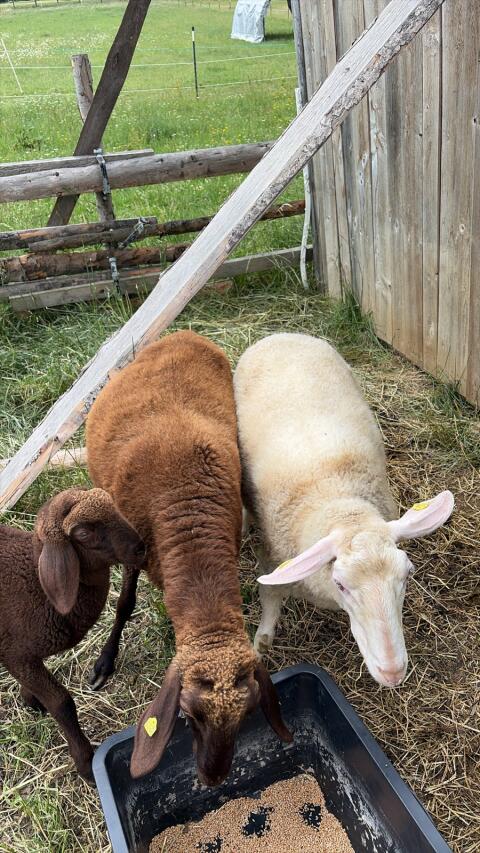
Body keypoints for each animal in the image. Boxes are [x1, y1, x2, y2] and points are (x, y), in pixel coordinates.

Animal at [0, 487, 145, 780]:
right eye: (83, 533)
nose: (142, 547)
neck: (36, 584)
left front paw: (30, 698)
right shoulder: (16, 654)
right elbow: (62, 704)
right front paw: (86, 764)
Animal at [85, 330, 292, 787]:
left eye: (247, 714)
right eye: (188, 714)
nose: (213, 779)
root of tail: (186, 333)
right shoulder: (135, 550)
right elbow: (124, 604)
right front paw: (104, 663)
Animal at [233, 333, 454, 688]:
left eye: (407, 574)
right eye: (340, 585)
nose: (393, 672)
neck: (337, 499)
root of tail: (283, 334)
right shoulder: (270, 552)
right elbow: (269, 597)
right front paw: (261, 643)